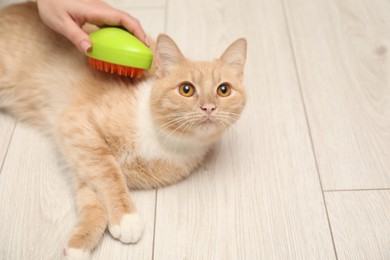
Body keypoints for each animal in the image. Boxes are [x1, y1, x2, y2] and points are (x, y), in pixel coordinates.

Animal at [0, 1, 247, 258]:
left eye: (223, 90)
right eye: (186, 89)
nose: (209, 107)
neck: (163, 140)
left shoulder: (80, 161)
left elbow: (93, 200)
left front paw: (80, 243)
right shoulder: (77, 127)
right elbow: (108, 173)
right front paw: (126, 218)